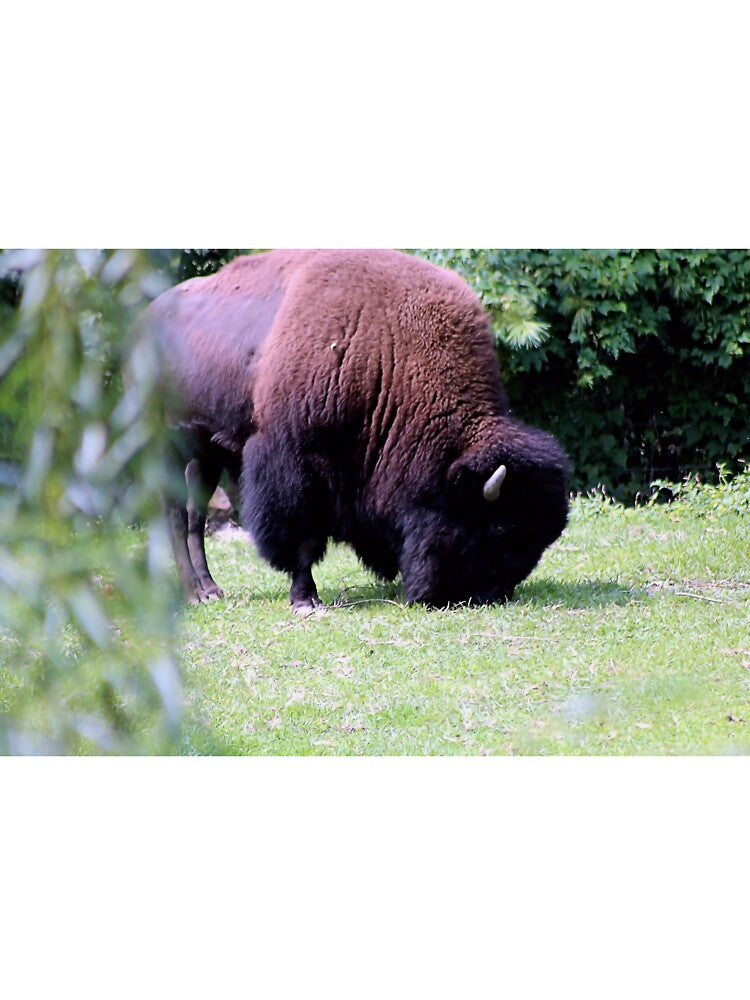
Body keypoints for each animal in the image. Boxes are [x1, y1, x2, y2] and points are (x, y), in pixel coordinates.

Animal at [140, 249, 569, 611]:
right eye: (498, 527)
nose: (490, 594)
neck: (390, 348)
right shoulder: (296, 465)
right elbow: (303, 538)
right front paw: (306, 599)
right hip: (167, 444)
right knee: (175, 515)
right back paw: (194, 593)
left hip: (206, 454)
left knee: (195, 515)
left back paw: (210, 589)